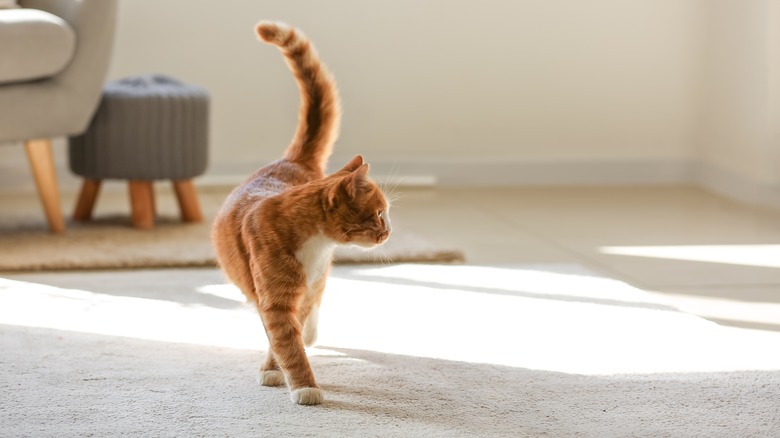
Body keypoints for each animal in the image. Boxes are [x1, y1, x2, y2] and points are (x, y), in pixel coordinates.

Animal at [212, 19, 390, 404]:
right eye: (379, 214)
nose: (388, 232)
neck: (316, 243)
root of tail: (291, 161)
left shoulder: (304, 291)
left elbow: (287, 337)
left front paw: (279, 369)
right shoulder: (275, 300)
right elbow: (285, 342)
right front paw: (304, 385)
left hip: (317, 282)